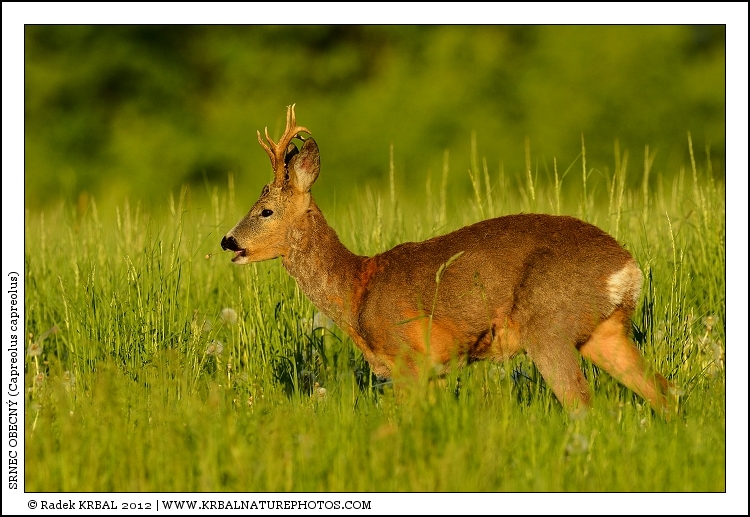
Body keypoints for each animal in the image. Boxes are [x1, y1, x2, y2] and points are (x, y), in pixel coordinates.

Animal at [221, 105, 671, 417]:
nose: (228, 241)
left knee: (582, 403)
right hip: (605, 332)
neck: (357, 290)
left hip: (548, 324)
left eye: (265, 211)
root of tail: (627, 269)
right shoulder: (434, 368)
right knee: (663, 392)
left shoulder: (409, 357)